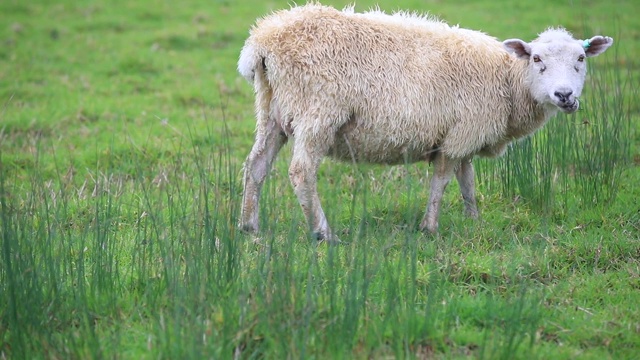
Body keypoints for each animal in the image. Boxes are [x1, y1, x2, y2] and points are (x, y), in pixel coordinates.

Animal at [235, 2, 608, 242]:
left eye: (581, 58)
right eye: (537, 59)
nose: (564, 95)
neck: (507, 81)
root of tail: (263, 41)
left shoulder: (465, 135)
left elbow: (467, 182)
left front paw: (474, 222)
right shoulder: (458, 136)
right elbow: (441, 182)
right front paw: (430, 227)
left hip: (271, 109)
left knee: (256, 166)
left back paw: (248, 226)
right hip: (318, 110)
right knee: (301, 172)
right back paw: (322, 232)